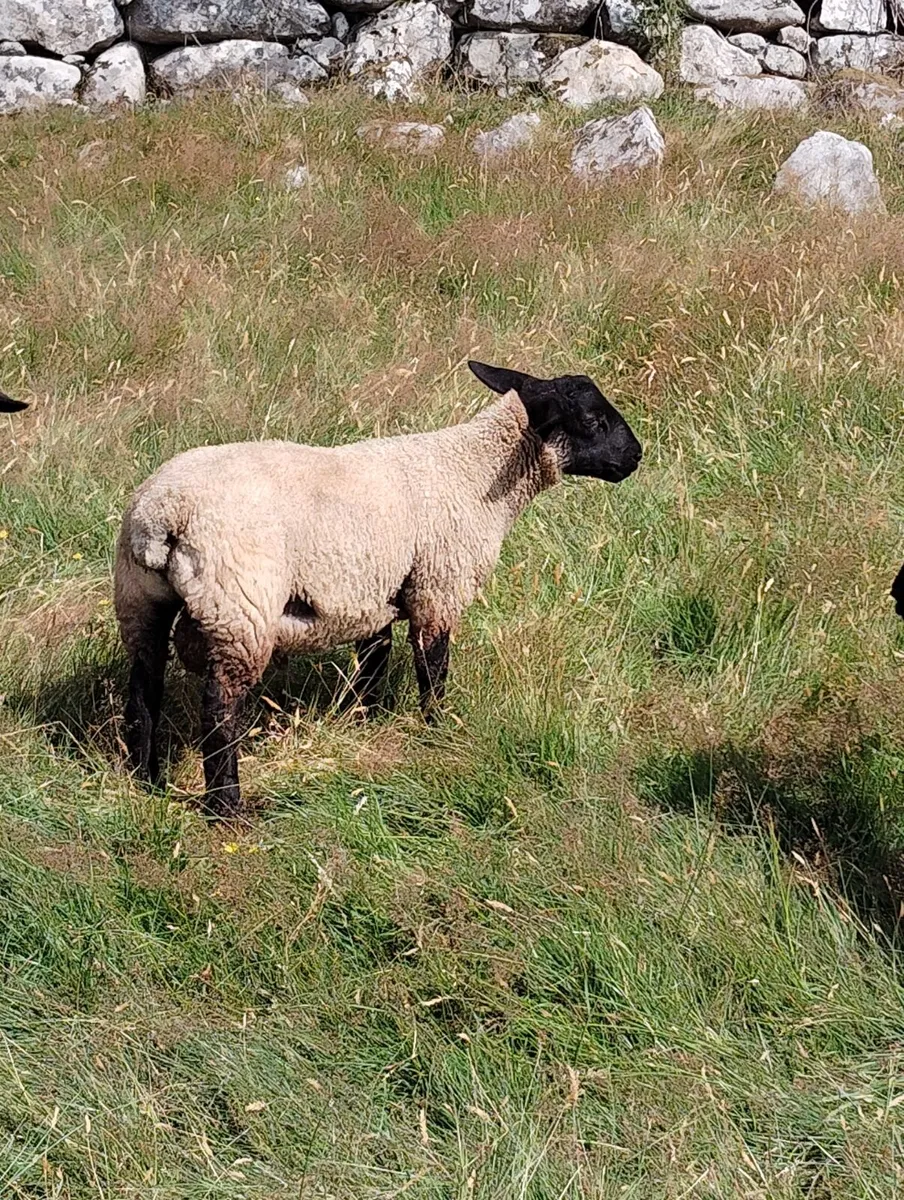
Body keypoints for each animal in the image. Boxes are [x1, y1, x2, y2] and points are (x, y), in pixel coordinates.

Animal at [114, 360, 642, 815]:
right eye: (593, 419)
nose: (636, 456)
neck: (473, 472)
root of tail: (161, 513)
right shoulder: (437, 589)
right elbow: (433, 672)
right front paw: (437, 734)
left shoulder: (372, 599)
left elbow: (371, 671)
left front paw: (365, 727)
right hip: (239, 611)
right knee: (218, 712)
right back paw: (227, 807)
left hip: (140, 602)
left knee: (143, 691)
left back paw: (147, 781)